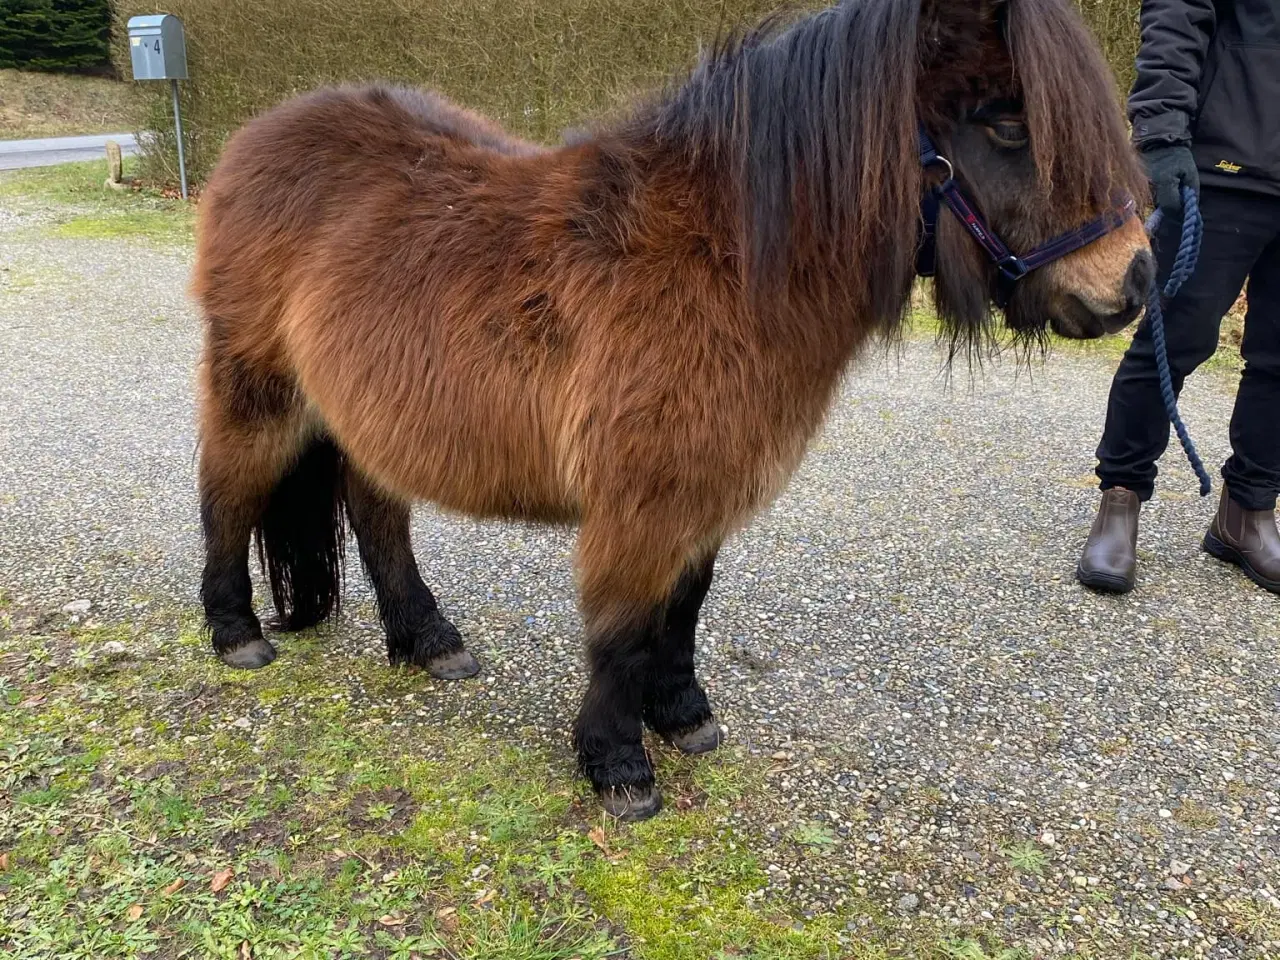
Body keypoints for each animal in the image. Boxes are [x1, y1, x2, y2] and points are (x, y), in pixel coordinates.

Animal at [194, 0, 1157, 819]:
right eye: (1007, 123)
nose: (1136, 279)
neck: (721, 262)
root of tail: (260, 136)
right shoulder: (644, 498)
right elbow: (623, 626)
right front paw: (618, 762)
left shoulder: (705, 490)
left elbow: (681, 609)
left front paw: (682, 714)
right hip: (257, 389)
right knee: (228, 495)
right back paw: (236, 632)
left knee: (376, 514)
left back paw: (428, 641)